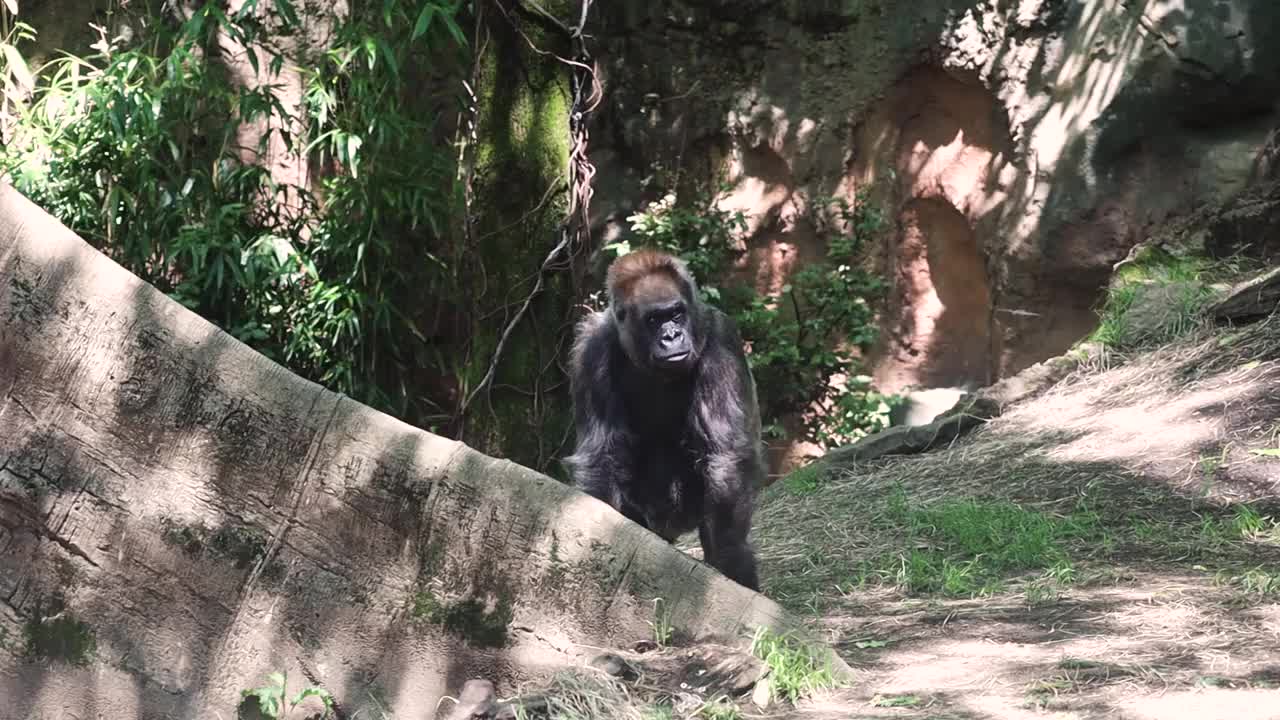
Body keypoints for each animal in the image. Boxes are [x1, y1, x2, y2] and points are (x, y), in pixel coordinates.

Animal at [568, 245, 762, 589]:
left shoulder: (720, 338)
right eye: (654, 319)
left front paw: (730, 556)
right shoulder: (589, 349)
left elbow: (725, 456)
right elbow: (602, 456)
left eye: (676, 314)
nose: (671, 336)